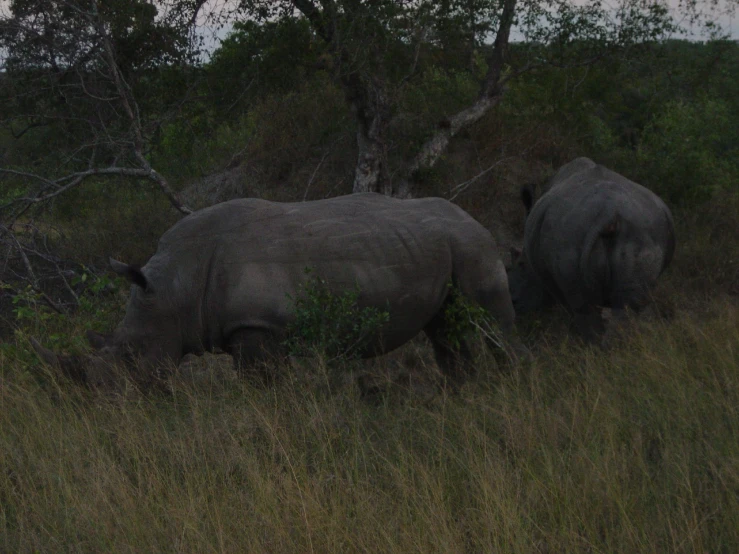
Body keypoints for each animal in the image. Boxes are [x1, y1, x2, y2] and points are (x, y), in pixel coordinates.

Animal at [33, 192, 520, 386]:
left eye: (132, 355)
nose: (106, 399)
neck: (174, 287)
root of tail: (474, 217)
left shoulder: (256, 327)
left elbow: (260, 387)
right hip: (443, 245)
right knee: (444, 327)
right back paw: (458, 394)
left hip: (472, 245)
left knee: (489, 318)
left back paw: (508, 385)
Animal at [508, 156, 676, 340]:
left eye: (521, 265)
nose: (514, 302)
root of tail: (610, 214)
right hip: (641, 231)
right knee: (625, 307)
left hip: (569, 235)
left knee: (585, 308)